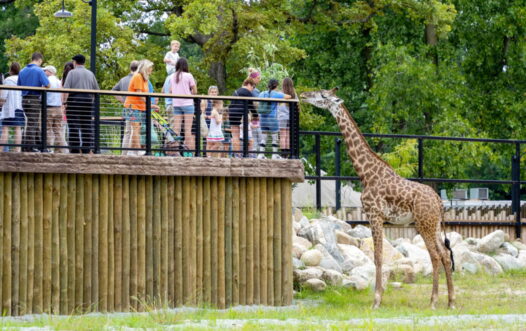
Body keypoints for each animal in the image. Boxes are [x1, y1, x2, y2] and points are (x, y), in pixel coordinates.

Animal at [304, 89, 456, 312]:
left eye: (323, 96)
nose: (304, 95)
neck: (366, 173)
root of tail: (438, 200)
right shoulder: (378, 218)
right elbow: (379, 256)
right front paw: (379, 297)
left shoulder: (374, 215)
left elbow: (377, 257)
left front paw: (376, 300)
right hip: (434, 224)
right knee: (445, 254)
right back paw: (451, 301)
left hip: (423, 224)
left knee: (436, 256)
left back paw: (434, 301)